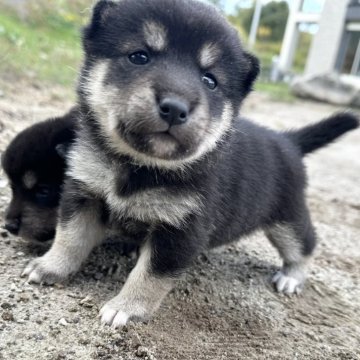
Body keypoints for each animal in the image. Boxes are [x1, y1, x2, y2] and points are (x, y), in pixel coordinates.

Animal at [21, 0, 358, 328]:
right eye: (139, 56)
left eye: (210, 80)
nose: (175, 108)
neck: (140, 166)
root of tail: (288, 141)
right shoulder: (83, 194)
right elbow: (70, 238)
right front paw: (50, 266)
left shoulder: (180, 230)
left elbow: (148, 275)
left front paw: (126, 308)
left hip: (287, 218)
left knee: (304, 245)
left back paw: (292, 277)